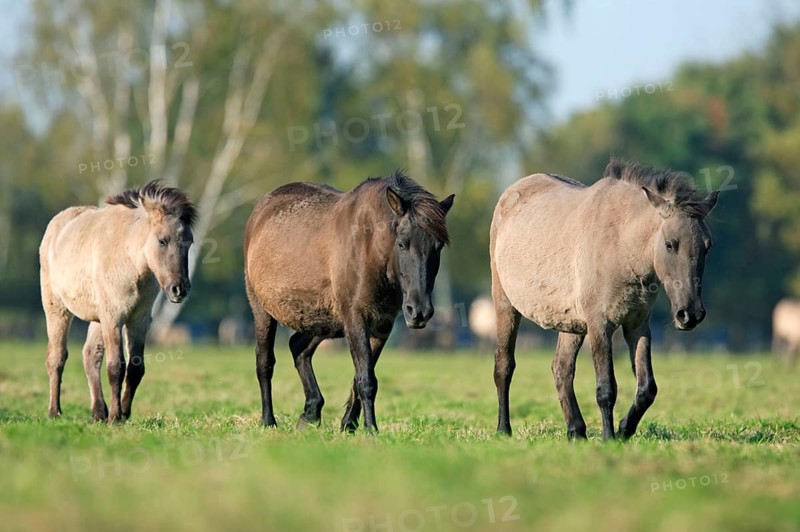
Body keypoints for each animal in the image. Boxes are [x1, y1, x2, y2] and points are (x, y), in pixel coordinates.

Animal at [39, 181, 195, 422]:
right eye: (162, 240)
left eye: (189, 243)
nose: (179, 289)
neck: (130, 260)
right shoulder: (114, 317)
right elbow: (115, 367)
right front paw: (115, 417)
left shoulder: (138, 320)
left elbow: (135, 368)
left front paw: (124, 413)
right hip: (57, 309)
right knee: (57, 357)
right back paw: (55, 411)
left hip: (97, 319)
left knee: (90, 356)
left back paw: (98, 413)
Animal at [243, 170, 454, 432]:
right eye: (401, 243)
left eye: (438, 246)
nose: (419, 311)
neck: (370, 245)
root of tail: (261, 209)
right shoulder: (355, 318)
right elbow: (366, 379)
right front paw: (370, 428)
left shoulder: (382, 325)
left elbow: (360, 376)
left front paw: (349, 425)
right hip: (262, 310)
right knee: (264, 362)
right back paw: (268, 420)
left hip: (322, 320)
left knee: (298, 348)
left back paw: (311, 412)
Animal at [490, 160, 718, 440]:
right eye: (670, 244)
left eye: (707, 246)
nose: (691, 314)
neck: (621, 244)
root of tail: (511, 192)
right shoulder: (600, 325)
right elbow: (606, 388)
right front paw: (609, 437)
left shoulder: (637, 326)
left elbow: (647, 389)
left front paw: (624, 429)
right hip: (506, 306)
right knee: (504, 367)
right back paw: (503, 429)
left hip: (571, 324)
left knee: (561, 369)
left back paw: (576, 431)